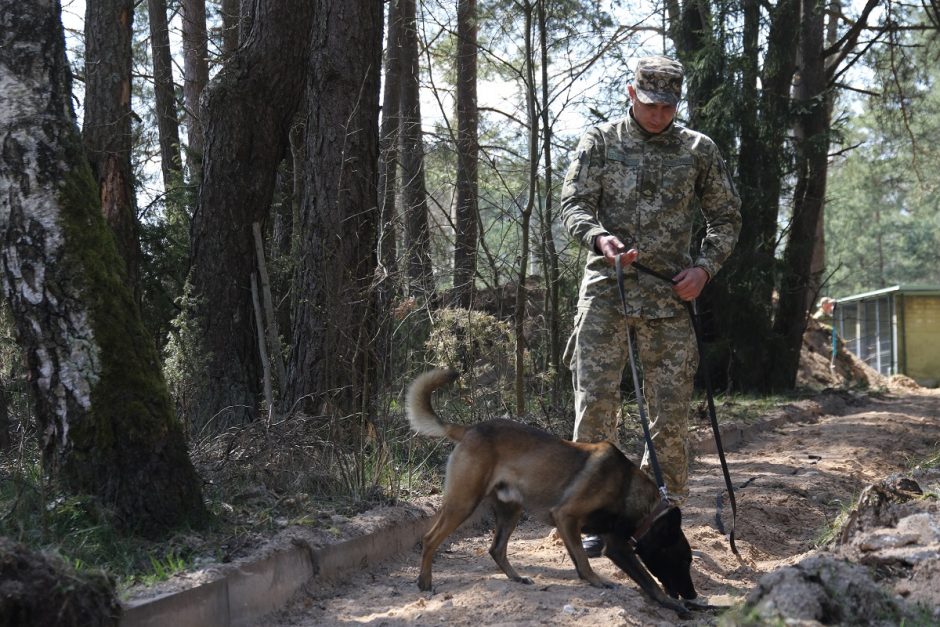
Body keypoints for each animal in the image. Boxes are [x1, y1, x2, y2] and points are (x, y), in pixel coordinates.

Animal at [406, 370, 696, 616]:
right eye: (683, 560)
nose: (692, 596)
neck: (630, 489)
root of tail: (470, 429)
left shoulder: (605, 538)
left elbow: (597, 563)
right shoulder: (573, 520)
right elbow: (596, 562)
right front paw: (598, 581)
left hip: (511, 510)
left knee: (496, 549)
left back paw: (516, 577)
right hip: (464, 502)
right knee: (430, 539)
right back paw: (425, 581)